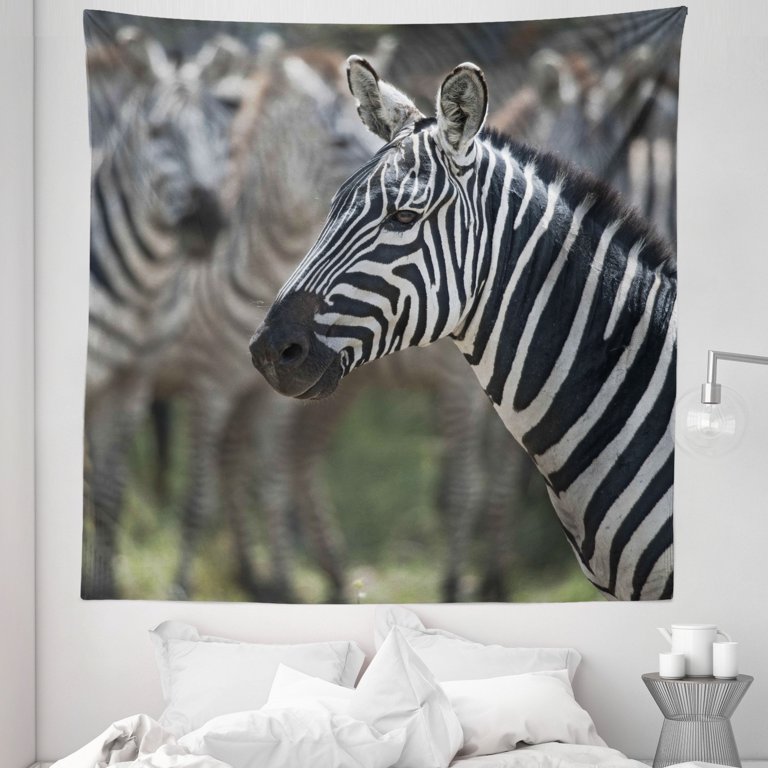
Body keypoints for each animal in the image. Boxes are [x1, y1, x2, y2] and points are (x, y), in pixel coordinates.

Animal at [83, 29, 241, 598]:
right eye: (156, 132)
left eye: (221, 133)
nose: (206, 223)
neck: (145, 288)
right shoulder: (93, 378)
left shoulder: (132, 382)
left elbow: (109, 493)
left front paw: (104, 585)